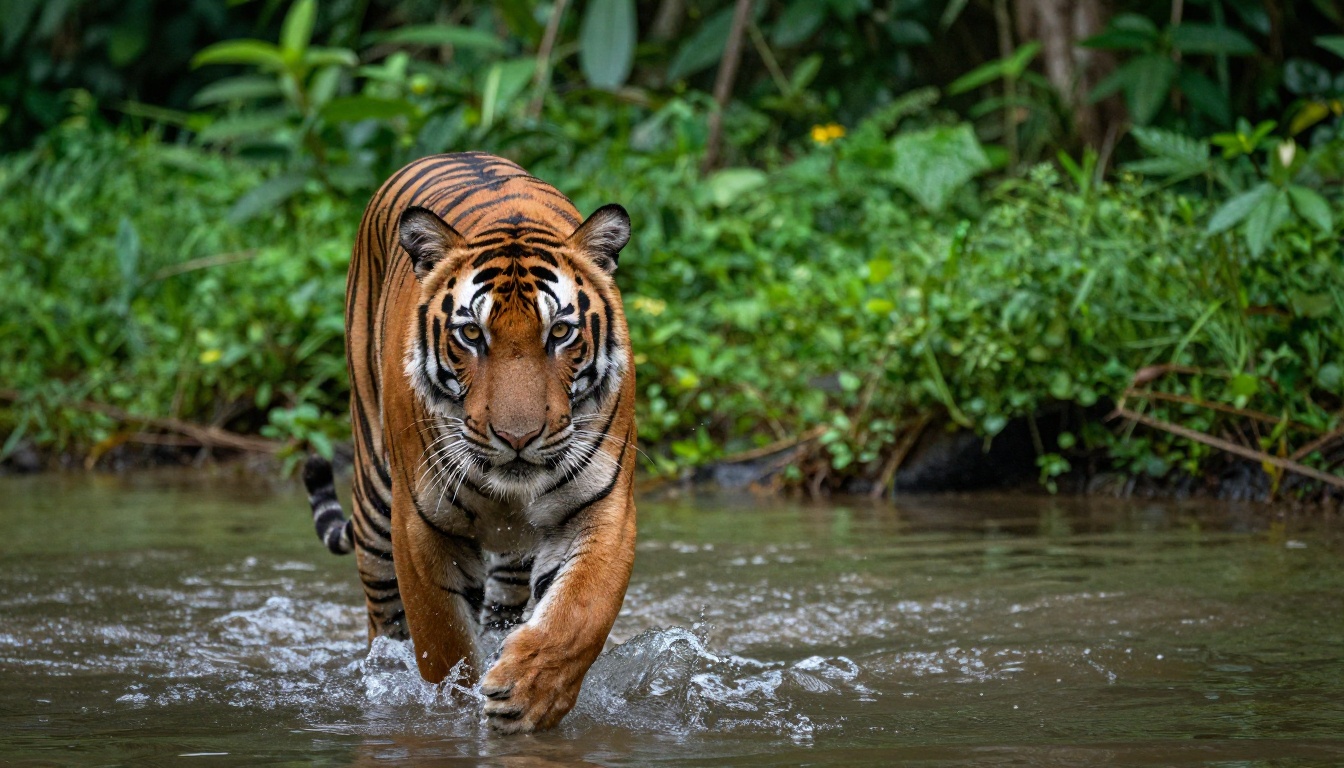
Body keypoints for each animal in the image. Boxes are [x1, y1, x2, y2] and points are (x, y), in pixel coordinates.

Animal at [301, 152, 637, 734]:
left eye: (560, 333)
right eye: (472, 335)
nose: (518, 436)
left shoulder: (603, 505)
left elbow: (579, 613)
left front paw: (527, 693)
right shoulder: (420, 524)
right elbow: (442, 641)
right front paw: (451, 710)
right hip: (375, 505)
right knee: (384, 626)